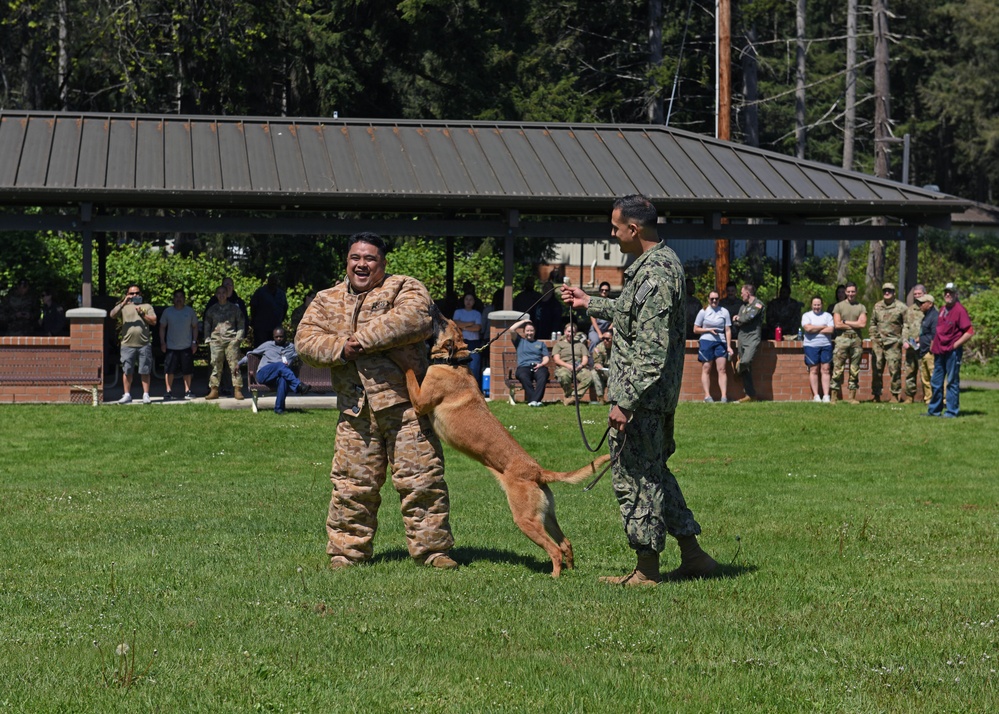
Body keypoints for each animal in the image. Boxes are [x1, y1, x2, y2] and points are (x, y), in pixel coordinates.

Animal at [390, 308, 608, 576]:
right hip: (546, 516)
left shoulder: (420, 401)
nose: (434, 309)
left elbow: (409, 372)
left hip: (525, 519)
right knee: (566, 543)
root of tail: (538, 471)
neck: (454, 363)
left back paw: (554, 576)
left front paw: (399, 356)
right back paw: (569, 570)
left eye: (442, 322)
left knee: (554, 549)